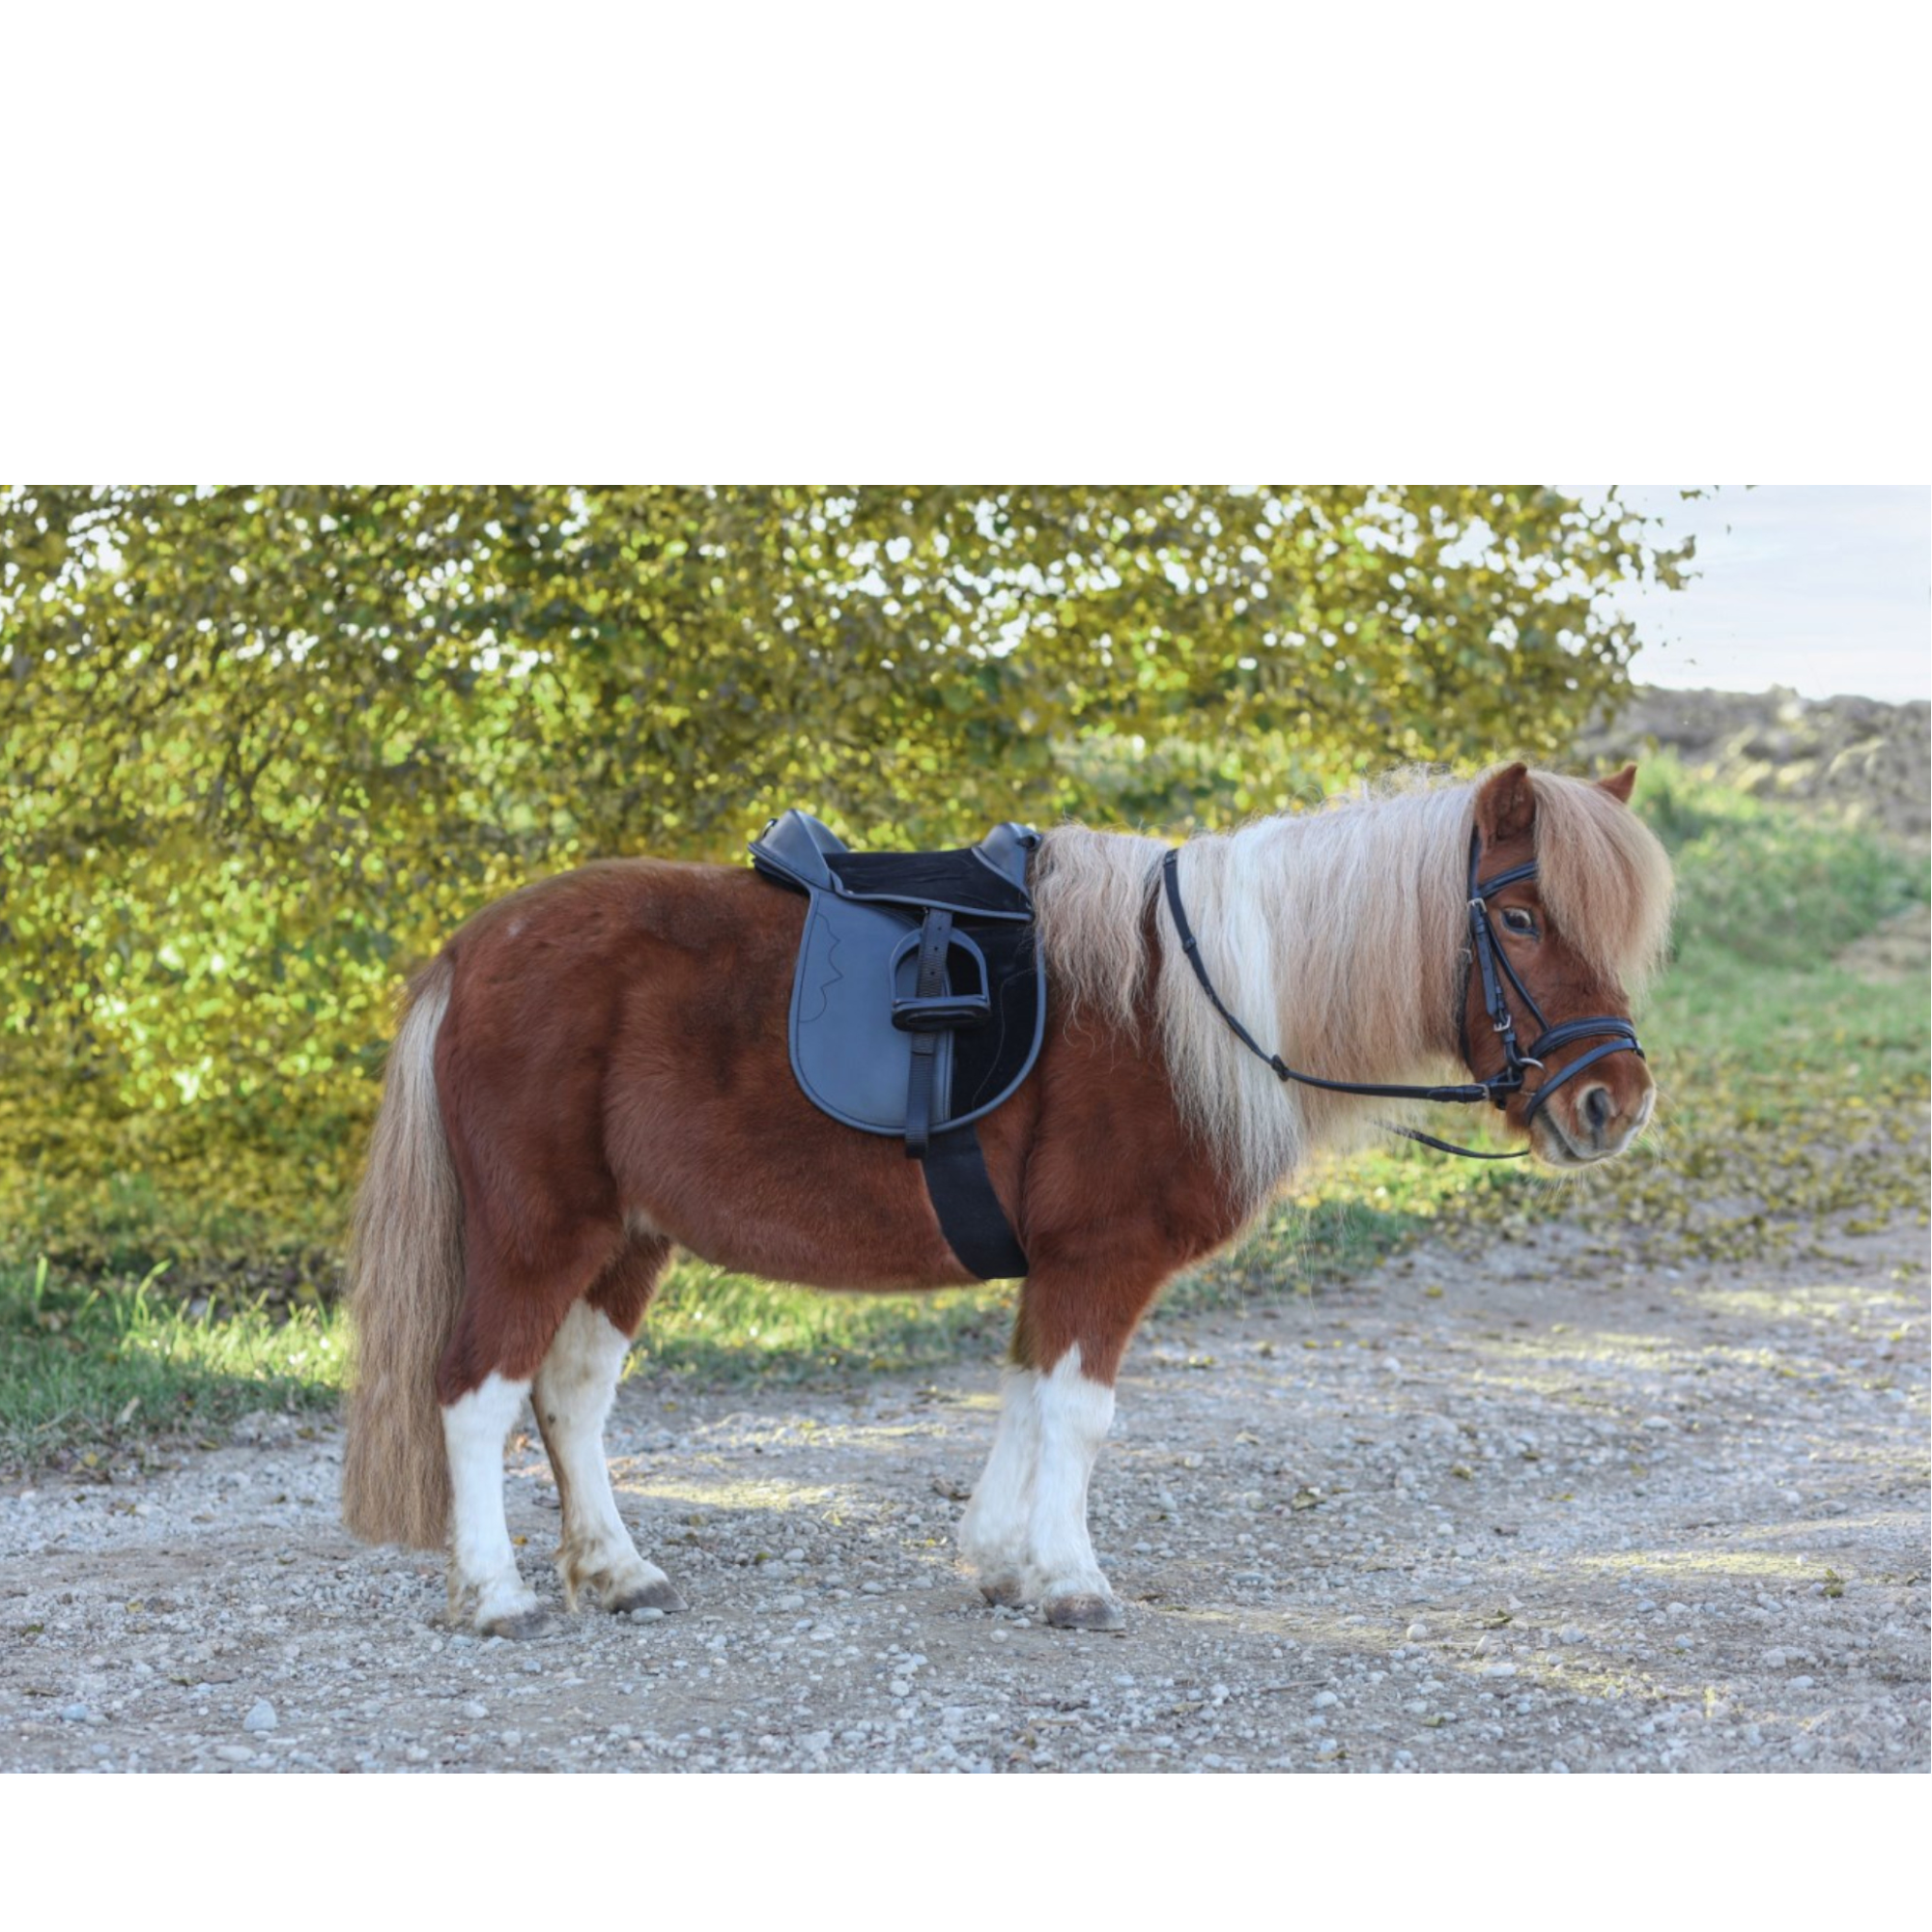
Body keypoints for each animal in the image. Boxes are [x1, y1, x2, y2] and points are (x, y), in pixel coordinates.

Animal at [341, 761, 1673, 1636]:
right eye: (1518, 914)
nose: (1610, 1101)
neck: (1186, 1003)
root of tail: (472, 947)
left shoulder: (1060, 1266)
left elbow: (1028, 1398)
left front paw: (999, 1560)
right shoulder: (1102, 1257)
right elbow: (1077, 1416)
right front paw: (1071, 1581)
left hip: (628, 1238)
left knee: (569, 1397)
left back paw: (616, 1572)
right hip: (538, 1233)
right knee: (476, 1394)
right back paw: (495, 1594)